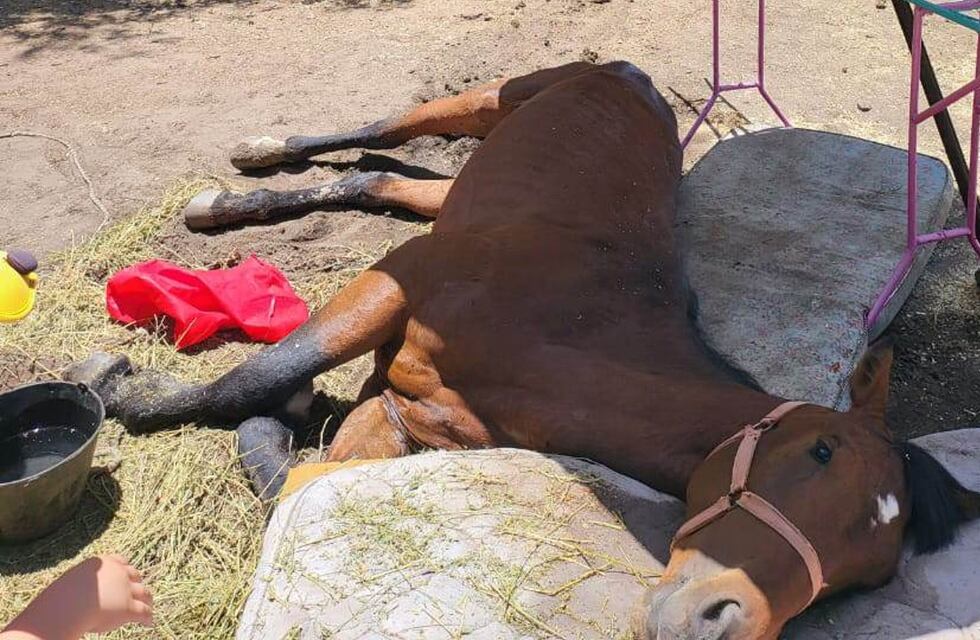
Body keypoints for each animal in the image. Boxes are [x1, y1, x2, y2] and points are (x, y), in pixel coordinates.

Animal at [69, 61, 980, 640]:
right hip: (487, 101)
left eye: (863, 581)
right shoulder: (396, 283)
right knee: (382, 127)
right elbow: (254, 378)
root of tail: (634, 79)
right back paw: (251, 163)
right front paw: (116, 387)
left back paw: (234, 204)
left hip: (457, 188)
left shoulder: (397, 413)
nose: (715, 623)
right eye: (820, 453)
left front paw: (273, 423)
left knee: (379, 180)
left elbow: (292, 476)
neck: (569, 334)